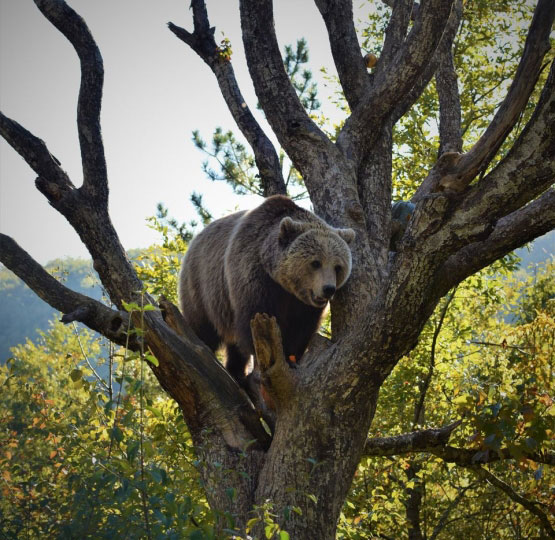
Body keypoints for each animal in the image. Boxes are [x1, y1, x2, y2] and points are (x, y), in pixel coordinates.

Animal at [180, 194, 358, 384]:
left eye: (338, 266)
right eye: (316, 263)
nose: (328, 289)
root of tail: (196, 238)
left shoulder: (303, 305)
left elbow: (302, 327)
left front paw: (292, 357)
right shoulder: (253, 276)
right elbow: (256, 316)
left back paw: (237, 372)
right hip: (202, 287)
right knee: (202, 328)